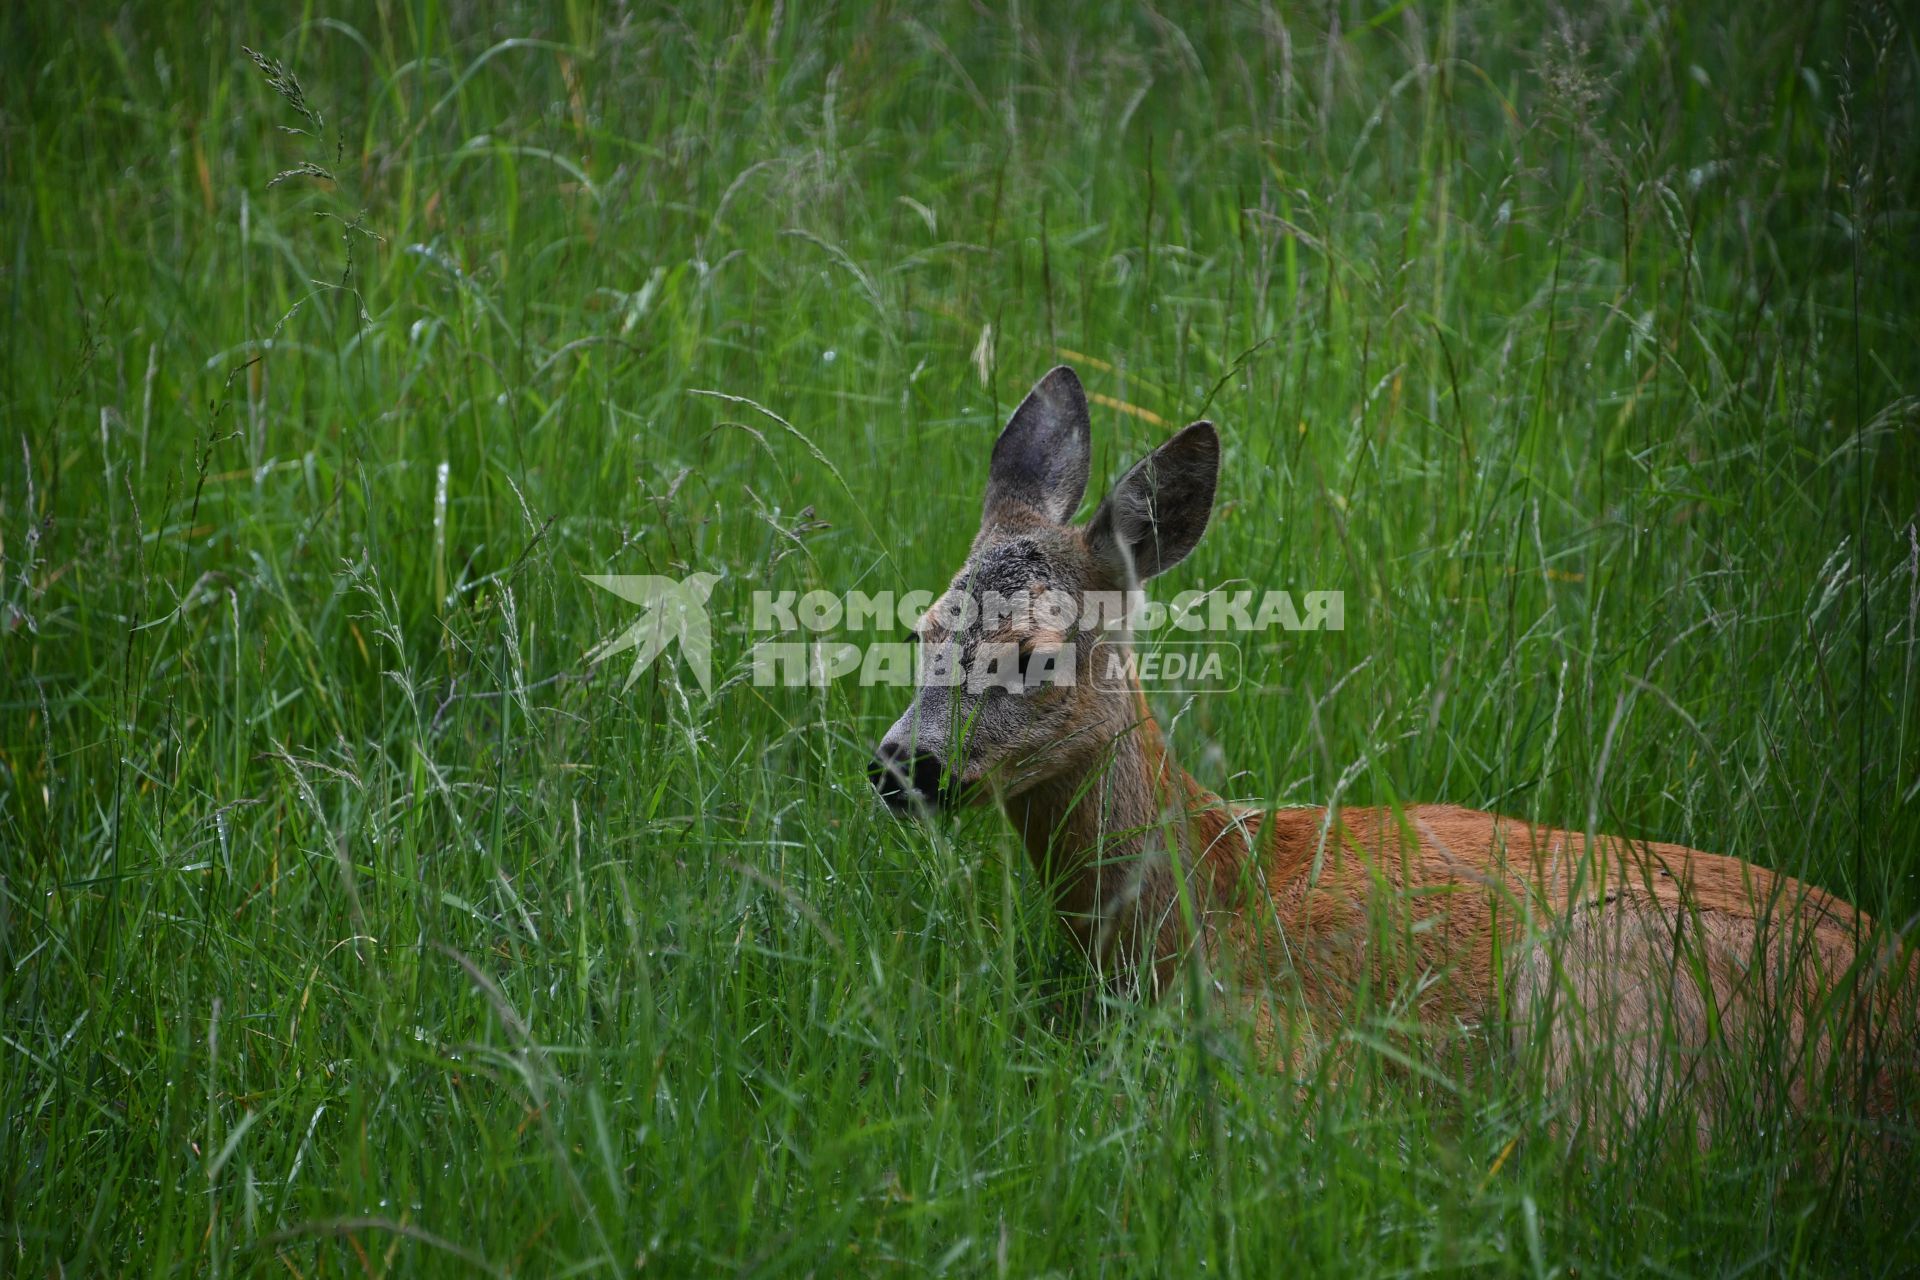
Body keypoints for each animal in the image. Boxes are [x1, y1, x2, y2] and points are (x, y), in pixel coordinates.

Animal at [879, 364, 1912, 1136]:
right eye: (921, 627)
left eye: (1034, 652)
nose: (900, 765)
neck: (1200, 894)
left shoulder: (1277, 1041)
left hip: (1599, 985)